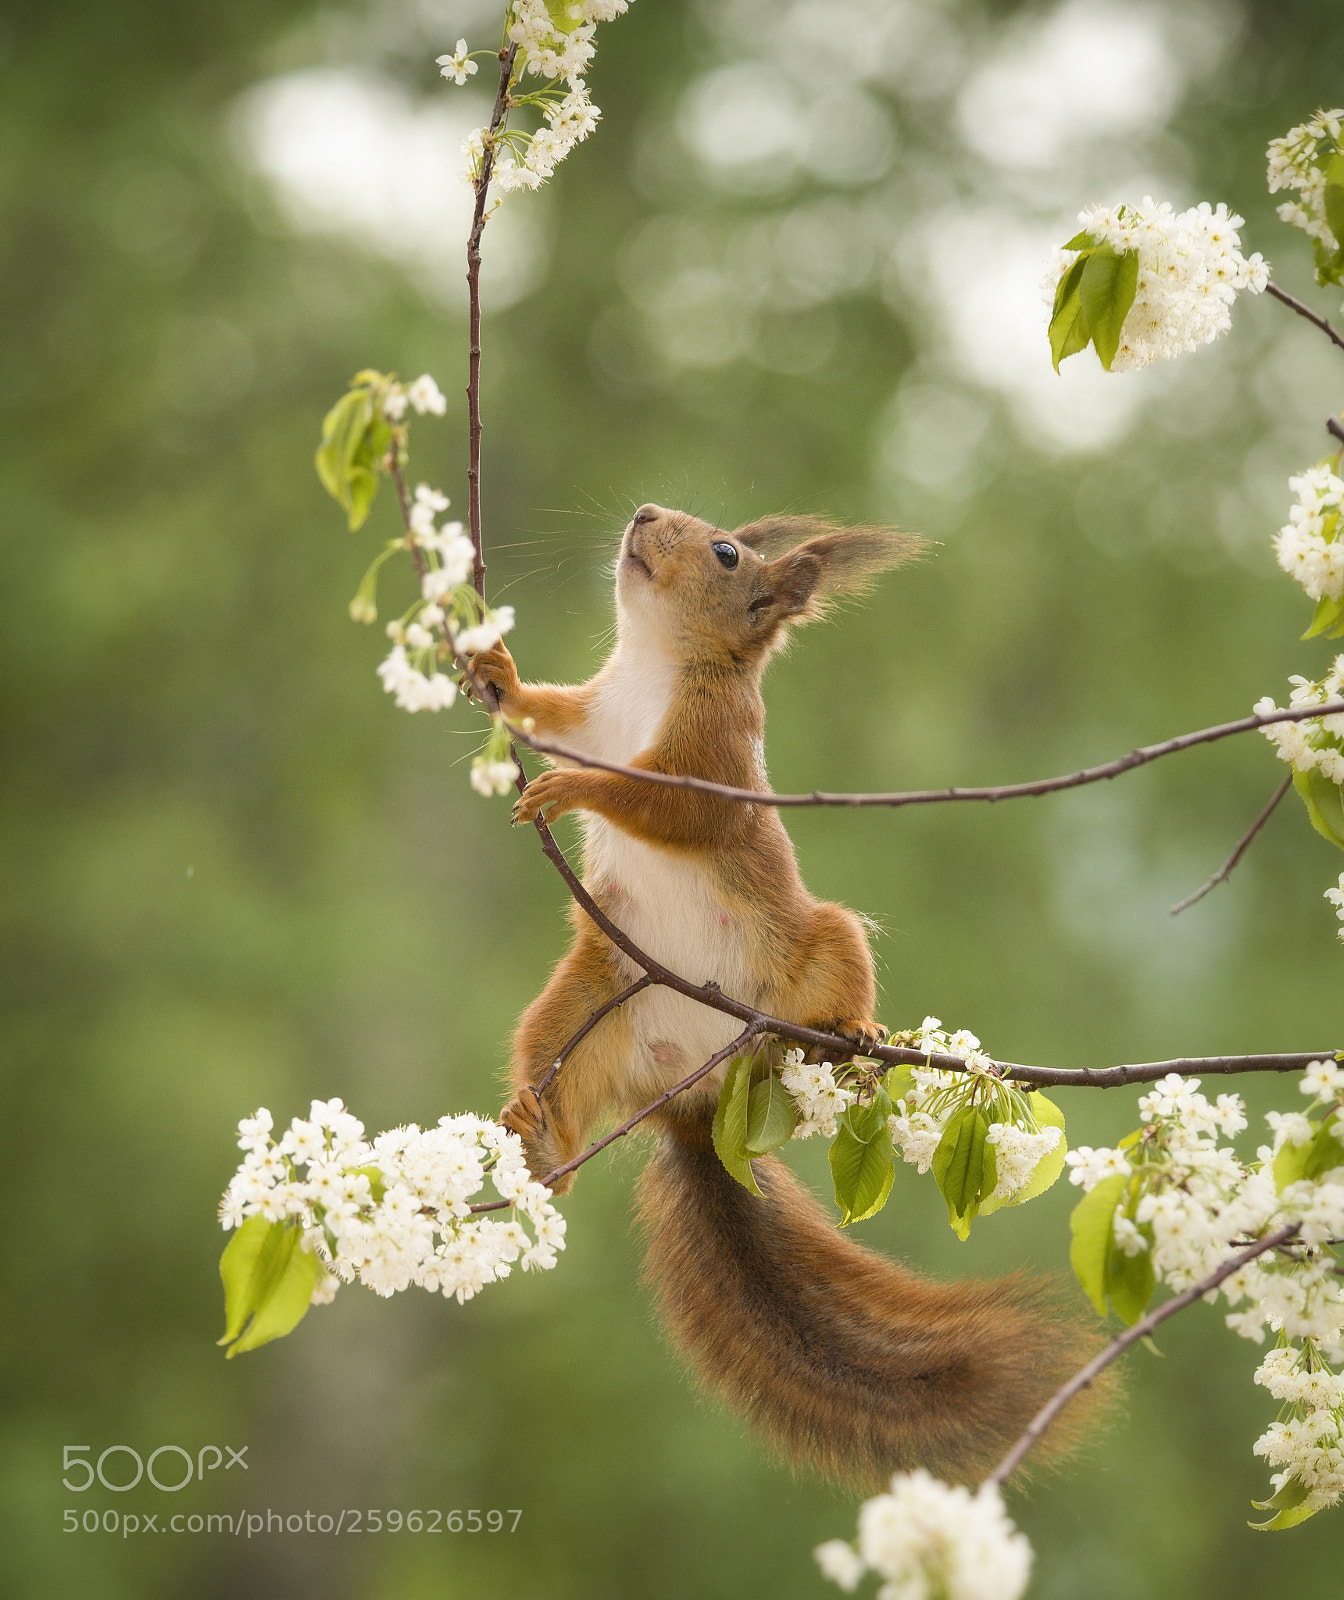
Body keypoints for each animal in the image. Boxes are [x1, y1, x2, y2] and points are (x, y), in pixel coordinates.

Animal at [469, 504, 1105, 1489]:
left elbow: (669, 807)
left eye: (726, 552)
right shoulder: (596, 710)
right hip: (584, 1002)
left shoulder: (713, 753)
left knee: (835, 975)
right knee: (559, 1101)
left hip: (818, 947)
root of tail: (693, 1100)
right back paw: (541, 1137)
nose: (644, 514)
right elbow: (551, 717)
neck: (654, 665)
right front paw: (496, 675)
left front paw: (572, 789)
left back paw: (850, 1033)